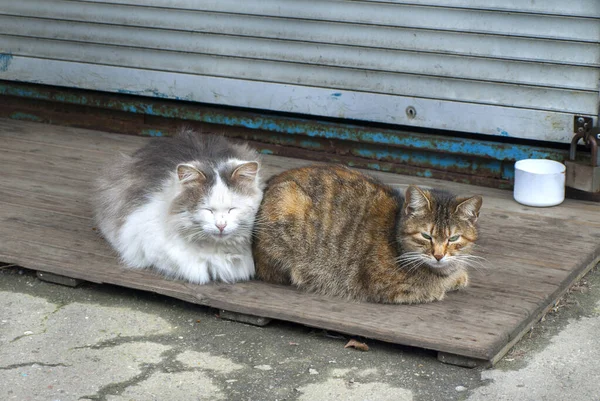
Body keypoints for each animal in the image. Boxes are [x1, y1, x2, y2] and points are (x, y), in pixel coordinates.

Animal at [253, 164, 482, 302]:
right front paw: (449, 282)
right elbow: (433, 289)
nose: (438, 255)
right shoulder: (390, 288)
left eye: (453, 238)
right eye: (426, 236)